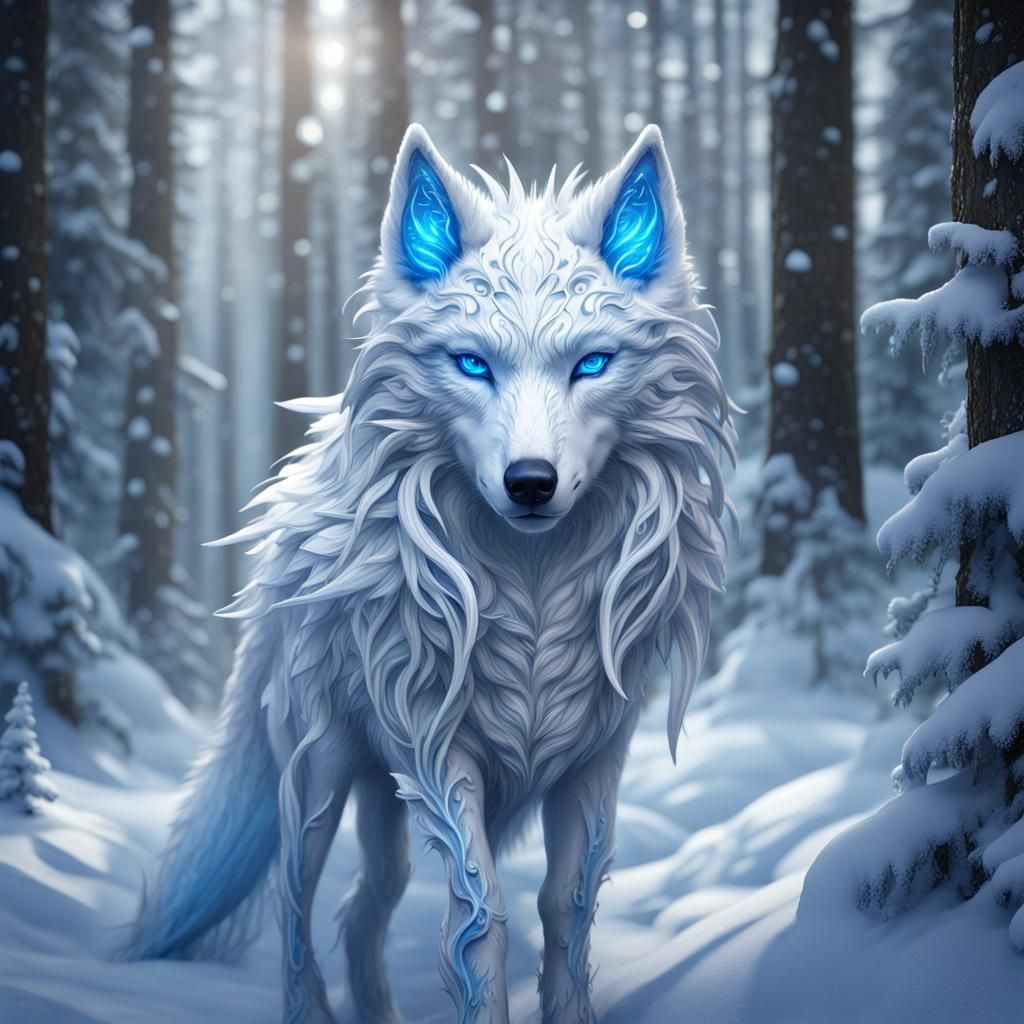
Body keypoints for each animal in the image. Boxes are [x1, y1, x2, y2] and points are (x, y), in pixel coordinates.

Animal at [123, 124, 733, 1024]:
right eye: (473, 365)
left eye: (591, 364)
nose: (530, 482)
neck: (534, 582)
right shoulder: (439, 753)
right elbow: (481, 921)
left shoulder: (596, 756)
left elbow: (567, 909)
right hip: (319, 777)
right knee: (299, 911)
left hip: (384, 799)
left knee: (362, 907)